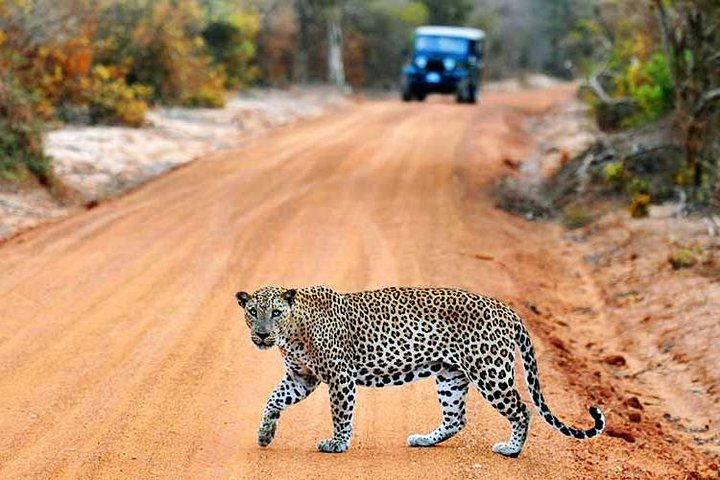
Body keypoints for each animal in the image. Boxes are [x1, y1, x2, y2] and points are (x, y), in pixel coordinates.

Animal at [233, 284, 604, 458]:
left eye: (276, 312)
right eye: (252, 312)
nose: (262, 334)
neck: (293, 332)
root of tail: (506, 309)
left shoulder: (340, 377)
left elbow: (341, 414)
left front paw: (337, 444)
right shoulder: (302, 378)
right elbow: (273, 400)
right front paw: (265, 434)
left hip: (490, 372)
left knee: (522, 409)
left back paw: (511, 450)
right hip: (450, 375)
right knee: (457, 418)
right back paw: (423, 440)